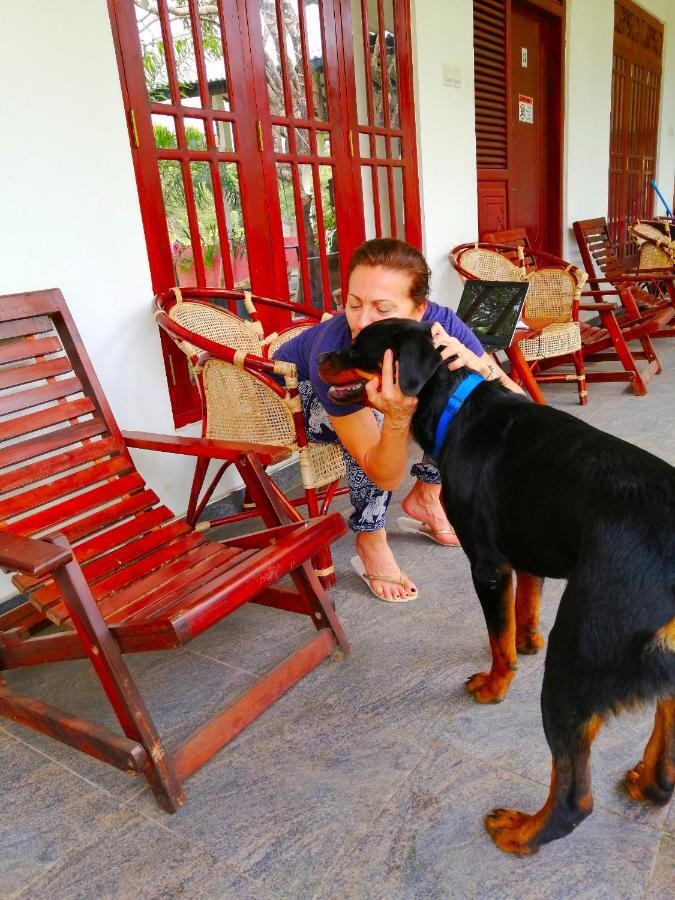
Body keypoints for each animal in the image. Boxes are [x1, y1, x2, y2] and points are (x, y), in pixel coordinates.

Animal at [320, 318, 675, 856]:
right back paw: (644, 783)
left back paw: (520, 833)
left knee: (574, 797)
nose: (319, 356)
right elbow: (523, 607)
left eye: (358, 347)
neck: (456, 408)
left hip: (579, 657)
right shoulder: (525, 550)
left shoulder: (487, 564)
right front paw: (527, 639)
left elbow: (496, 640)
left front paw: (494, 685)